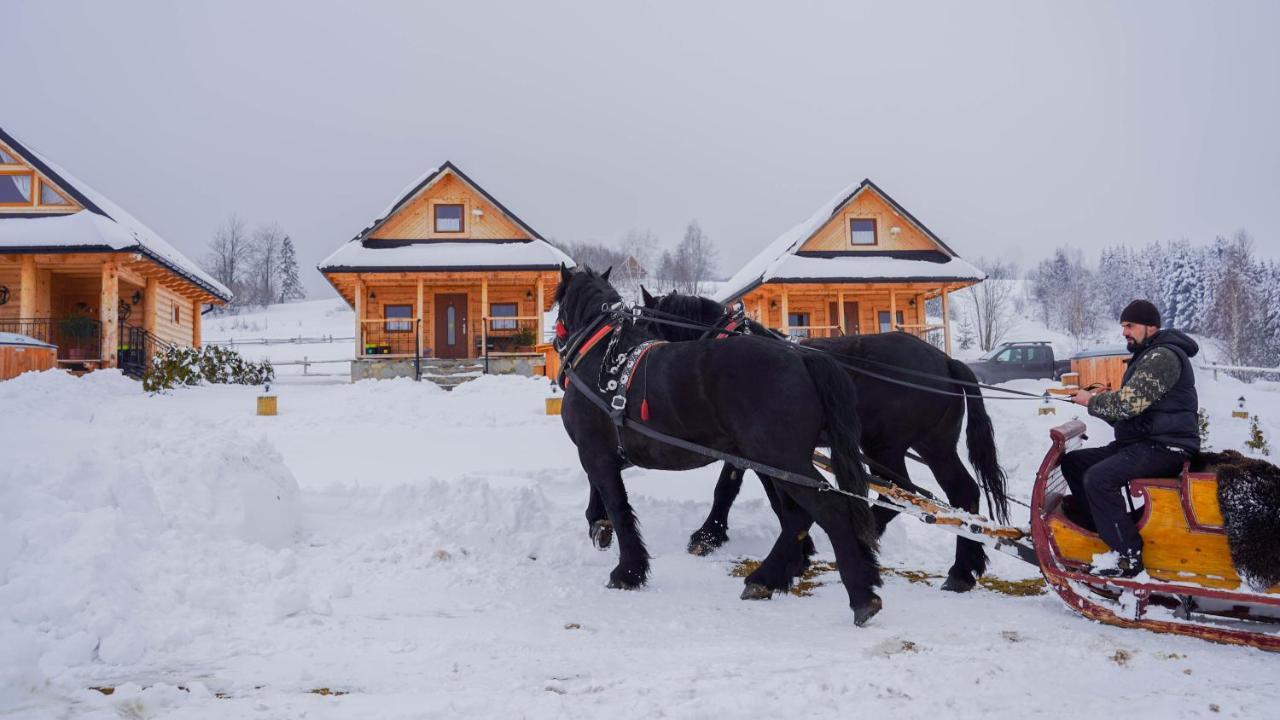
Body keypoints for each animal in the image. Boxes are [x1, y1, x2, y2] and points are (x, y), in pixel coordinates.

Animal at [555, 265, 885, 622]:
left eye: (558, 305)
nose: (557, 342)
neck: (603, 357)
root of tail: (802, 359)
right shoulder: (612, 451)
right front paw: (600, 526)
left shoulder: (595, 451)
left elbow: (618, 505)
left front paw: (628, 570)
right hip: (778, 460)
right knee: (800, 514)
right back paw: (770, 578)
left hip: (781, 458)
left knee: (828, 510)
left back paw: (859, 595)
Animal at [629, 288, 1008, 591]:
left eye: (644, 326)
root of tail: (947, 361)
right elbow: (750, 489)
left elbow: (751, 491)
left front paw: (714, 537)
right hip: (932, 445)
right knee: (959, 492)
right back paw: (963, 569)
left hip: (888, 446)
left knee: (909, 491)